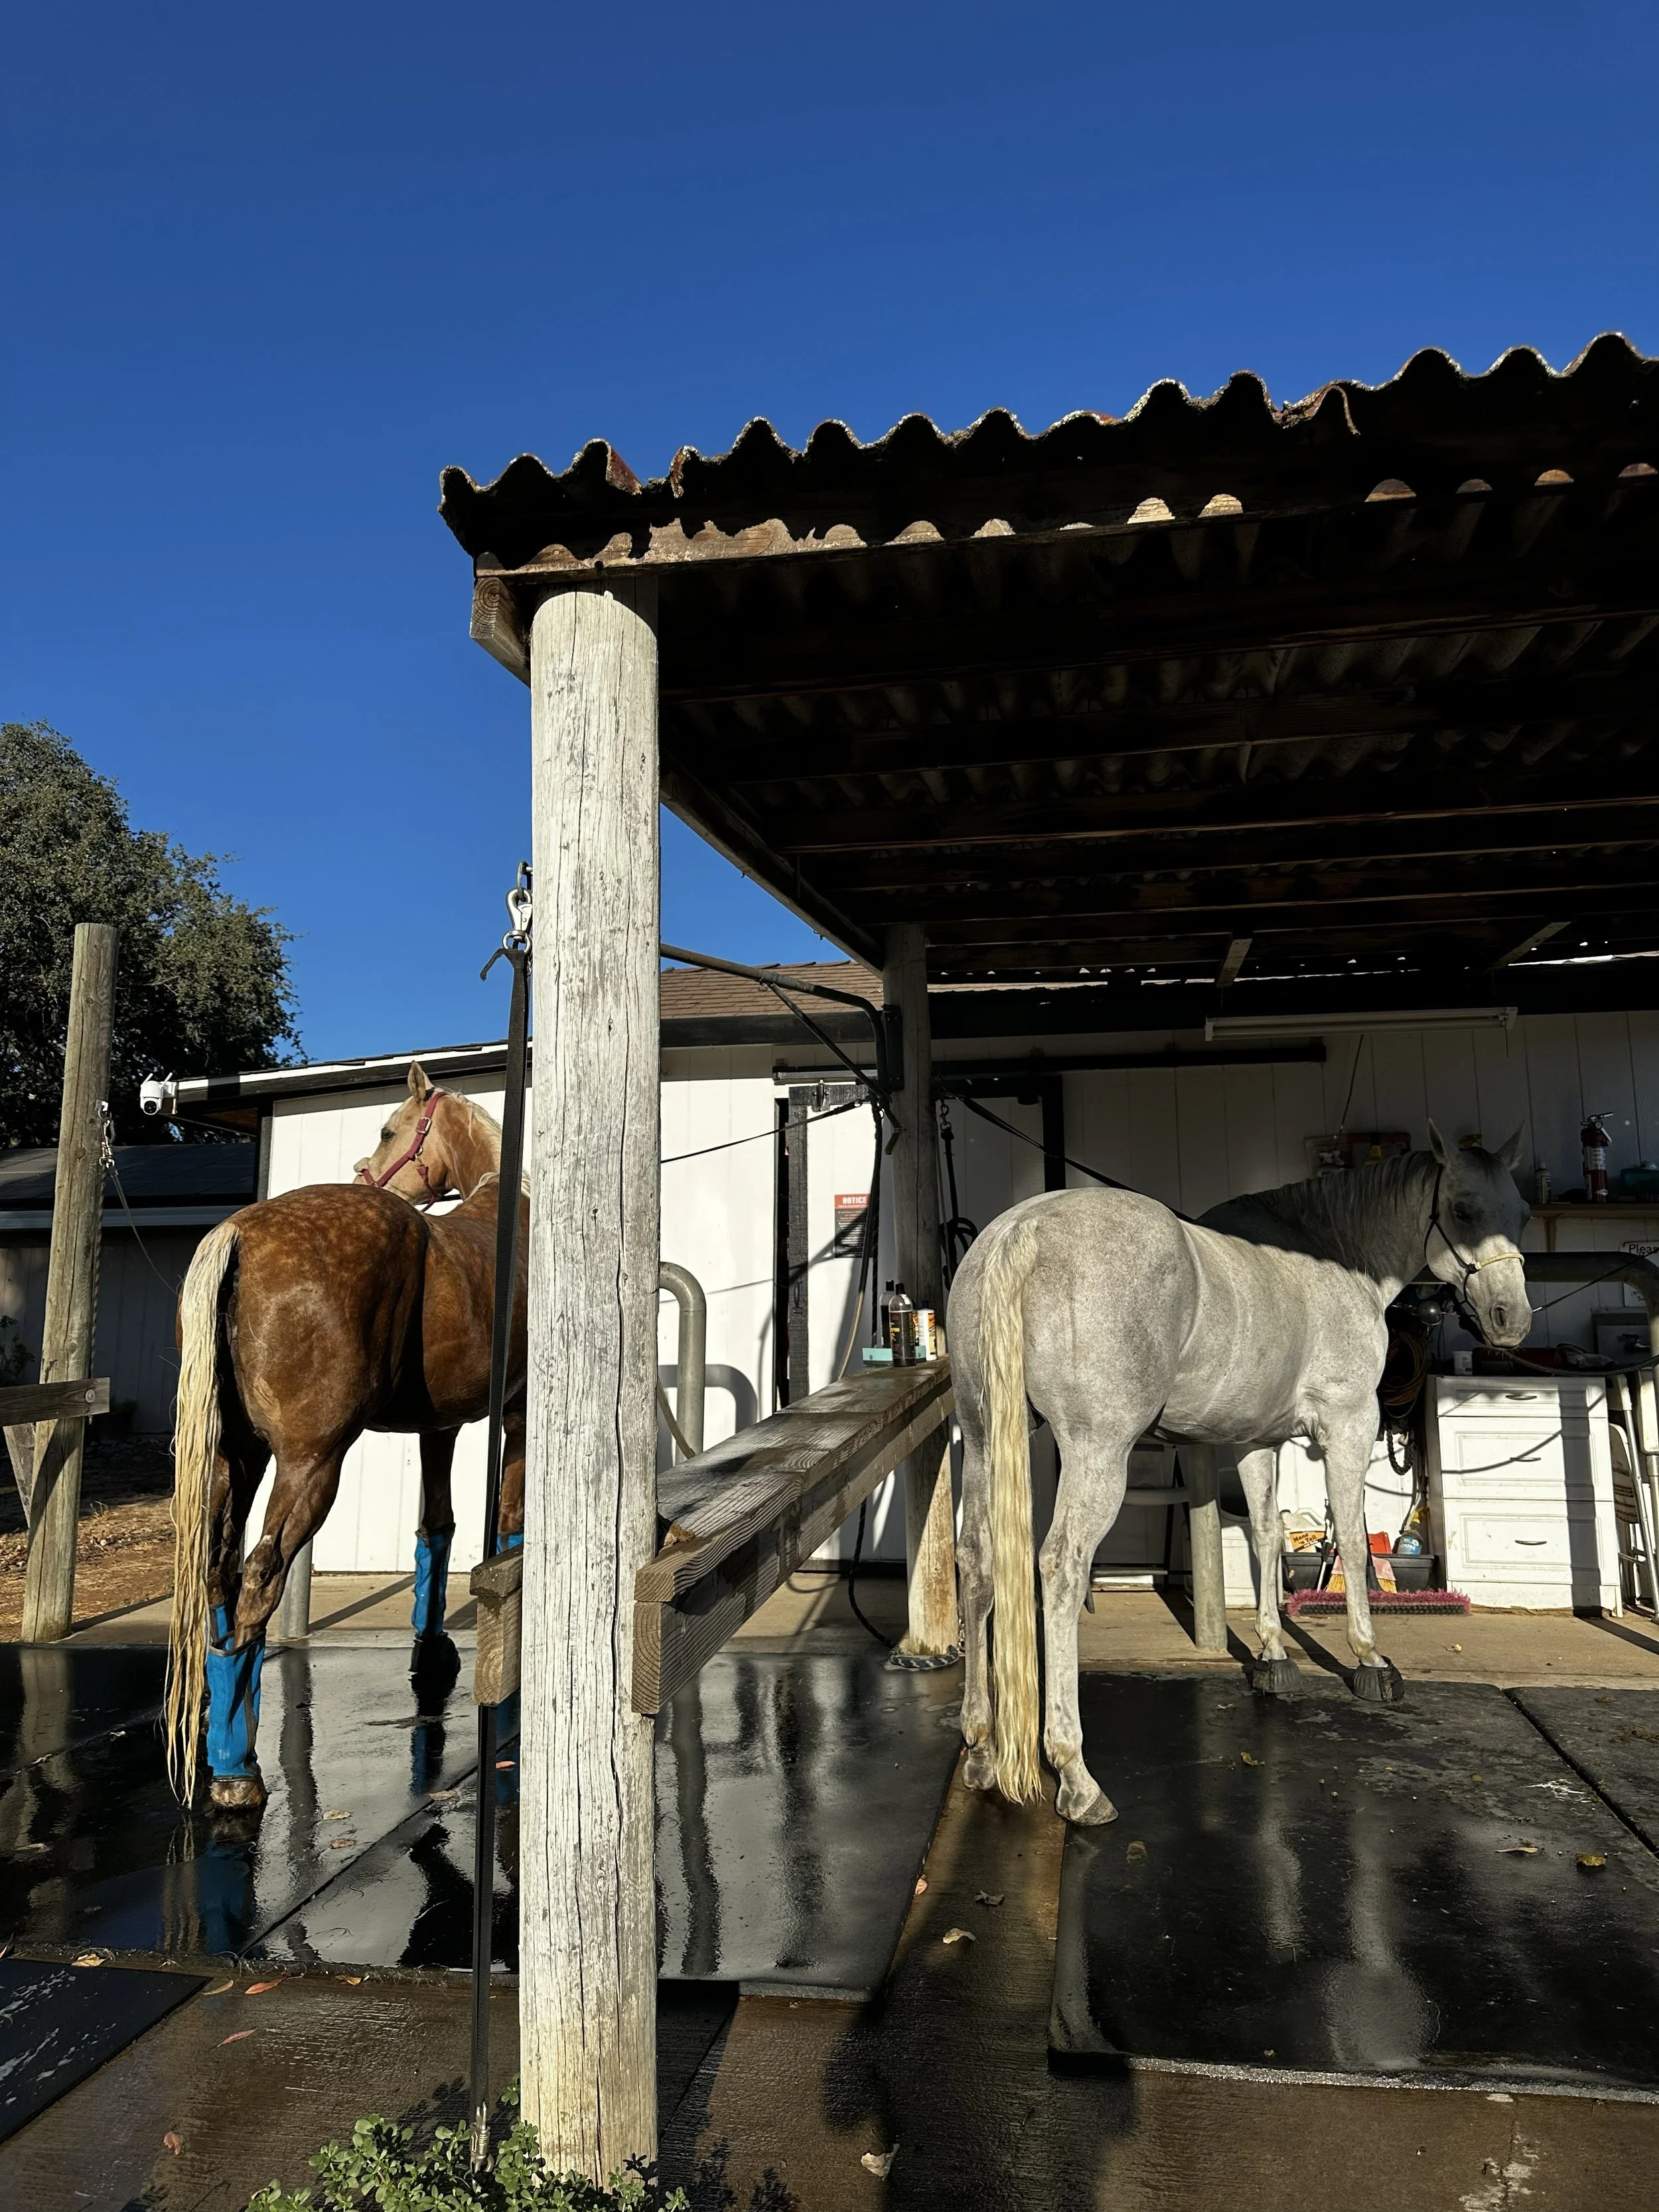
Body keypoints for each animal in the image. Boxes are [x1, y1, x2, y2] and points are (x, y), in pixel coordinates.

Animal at [166, 1063, 527, 1810]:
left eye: (389, 1129)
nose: (368, 1171)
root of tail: (239, 1233)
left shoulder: (440, 1427)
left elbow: (437, 1529)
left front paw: (430, 1651)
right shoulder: (518, 1411)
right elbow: (508, 1525)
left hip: (237, 1458)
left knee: (219, 1572)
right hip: (312, 1463)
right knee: (260, 1575)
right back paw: (238, 1769)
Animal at [948, 1124, 1531, 1827]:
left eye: (1524, 1212)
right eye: (1465, 1211)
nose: (1511, 1318)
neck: (1336, 1257)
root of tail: (1023, 1230)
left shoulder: (1257, 1440)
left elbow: (1267, 1537)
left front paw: (1274, 1656)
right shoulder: (1349, 1425)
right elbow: (1353, 1544)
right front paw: (1371, 1659)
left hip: (983, 1438)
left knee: (977, 1563)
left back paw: (981, 1751)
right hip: (1096, 1452)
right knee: (1061, 1566)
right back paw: (1077, 1777)